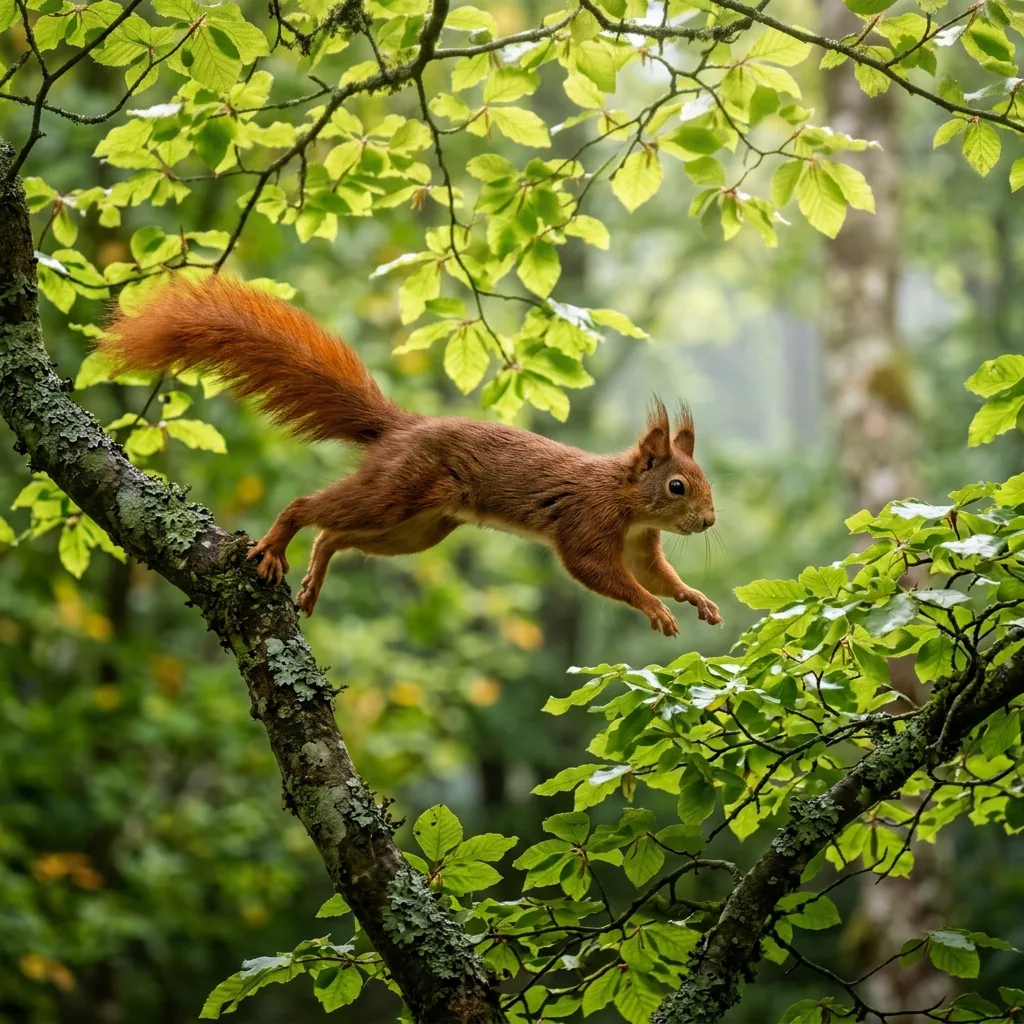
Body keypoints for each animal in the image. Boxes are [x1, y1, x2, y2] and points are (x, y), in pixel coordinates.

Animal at [100, 276, 722, 636]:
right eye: (677, 486)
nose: (710, 521)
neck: (626, 496)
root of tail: (404, 428)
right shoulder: (587, 523)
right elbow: (601, 572)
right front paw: (654, 607)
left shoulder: (641, 542)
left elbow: (657, 571)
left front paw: (694, 598)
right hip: (393, 492)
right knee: (309, 509)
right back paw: (277, 543)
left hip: (418, 528)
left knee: (335, 535)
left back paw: (314, 576)